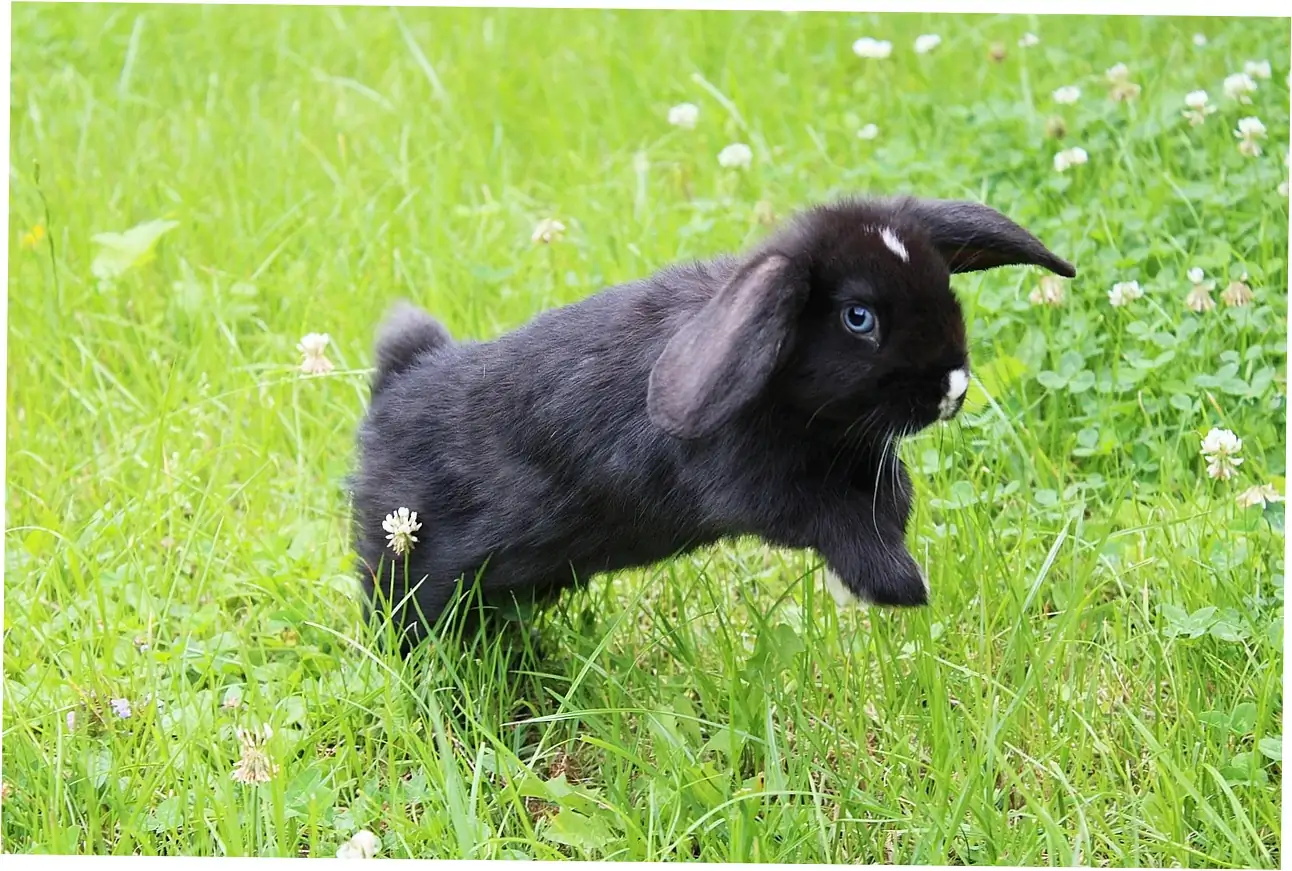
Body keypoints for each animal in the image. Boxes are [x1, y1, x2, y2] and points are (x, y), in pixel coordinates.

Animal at [350, 195, 1076, 649]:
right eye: (859, 317)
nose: (953, 389)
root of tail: (397, 384)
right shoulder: (764, 489)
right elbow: (840, 523)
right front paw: (900, 587)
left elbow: (882, 496)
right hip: (410, 559)